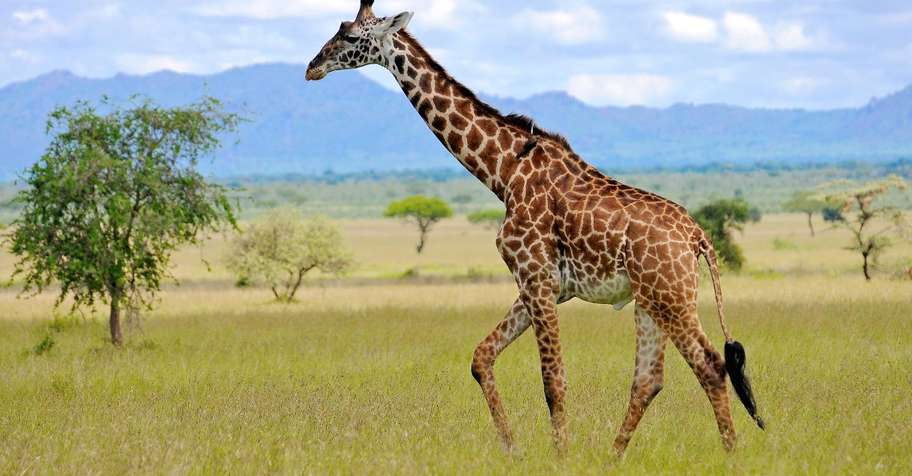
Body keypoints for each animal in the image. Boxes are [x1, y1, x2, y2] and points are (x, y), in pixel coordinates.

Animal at [306, 0, 765, 455]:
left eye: (350, 35)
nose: (313, 67)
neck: (504, 172)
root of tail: (698, 237)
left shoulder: (536, 276)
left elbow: (553, 381)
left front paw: (560, 456)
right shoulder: (542, 285)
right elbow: (481, 358)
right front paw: (513, 449)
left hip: (670, 295)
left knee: (710, 365)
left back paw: (729, 455)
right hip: (649, 300)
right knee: (649, 380)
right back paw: (612, 457)